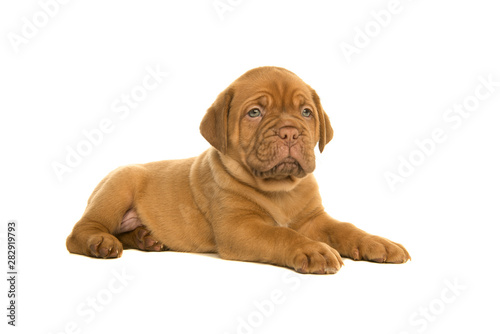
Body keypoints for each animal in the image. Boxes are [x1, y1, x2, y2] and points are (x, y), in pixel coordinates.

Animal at [66, 66, 410, 274]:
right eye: (255, 113)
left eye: (306, 112)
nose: (289, 132)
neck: (281, 189)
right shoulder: (239, 227)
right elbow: (281, 234)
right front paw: (313, 250)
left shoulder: (314, 219)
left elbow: (346, 228)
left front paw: (377, 242)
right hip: (119, 184)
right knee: (80, 232)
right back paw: (101, 243)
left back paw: (144, 238)